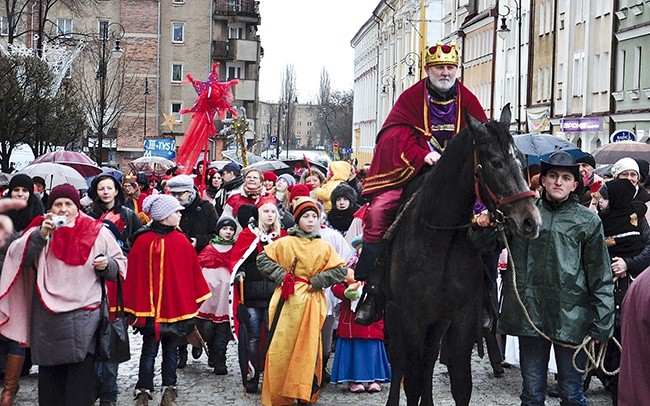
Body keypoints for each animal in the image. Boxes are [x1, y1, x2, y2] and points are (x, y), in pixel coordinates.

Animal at [382, 106, 540, 404]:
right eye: (495, 162)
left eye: (523, 158)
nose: (530, 221)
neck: (440, 239)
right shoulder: (411, 318)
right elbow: (411, 380)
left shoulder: (461, 319)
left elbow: (460, 384)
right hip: (394, 317)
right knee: (399, 365)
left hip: (437, 323)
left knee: (428, 360)